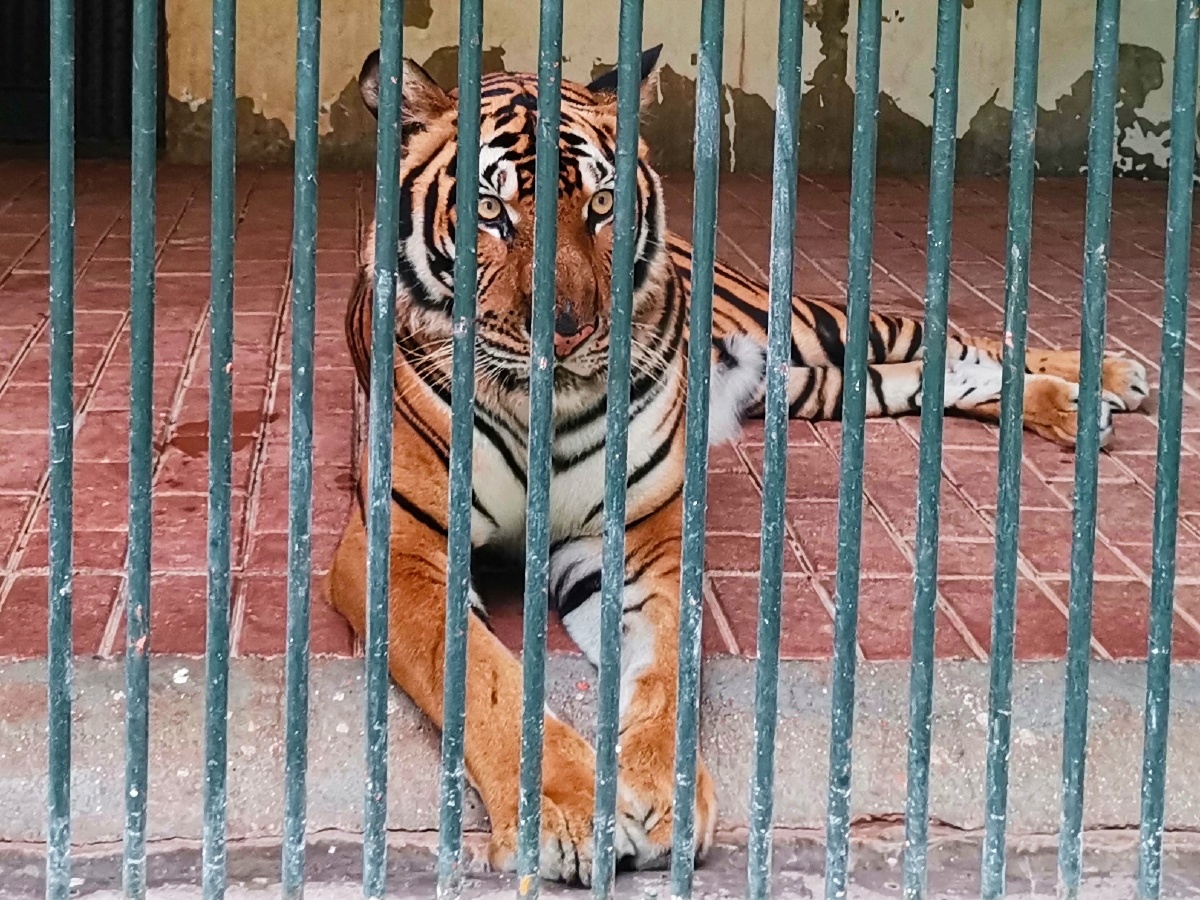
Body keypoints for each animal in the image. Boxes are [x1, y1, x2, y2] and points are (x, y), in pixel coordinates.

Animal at [327, 44, 1149, 886]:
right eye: (492, 213)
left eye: (601, 205)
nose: (568, 331)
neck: (538, 408)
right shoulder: (401, 550)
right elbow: (487, 682)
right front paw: (565, 809)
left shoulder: (641, 546)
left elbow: (666, 670)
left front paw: (659, 797)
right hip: (816, 386)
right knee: (933, 376)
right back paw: (1077, 404)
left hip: (820, 327)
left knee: (953, 335)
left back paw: (1104, 379)